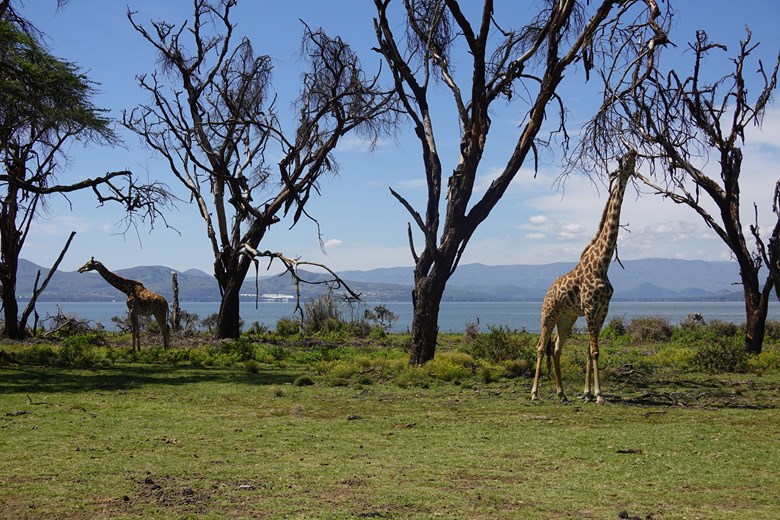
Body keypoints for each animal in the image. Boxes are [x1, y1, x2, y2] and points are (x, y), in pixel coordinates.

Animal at [530, 150, 637, 404]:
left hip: (566, 318)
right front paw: (598, 395)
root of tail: (547, 292)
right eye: (622, 160)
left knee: (556, 348)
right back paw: (535, 393)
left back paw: (562, 393)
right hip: (548, 314)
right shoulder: (589, 307)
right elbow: (595, 350)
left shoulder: (603, 309)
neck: (602, 263)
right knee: (540, 346)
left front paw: (587, 393)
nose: (634, 152)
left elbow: (590, 350)